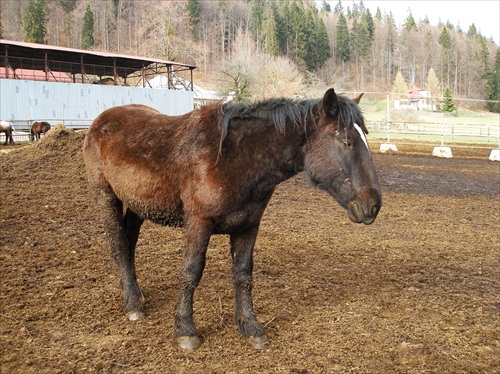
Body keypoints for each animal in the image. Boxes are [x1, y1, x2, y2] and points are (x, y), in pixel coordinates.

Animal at [83, 87, 382, 350]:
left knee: (129, 243)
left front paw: (250, 327)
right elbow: (191, 272)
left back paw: (133, 292)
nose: (373, 205)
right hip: (106, 196)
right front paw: (185, 330)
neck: (233, 158)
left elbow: (243, 274)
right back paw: (133, 304)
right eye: (346, 141)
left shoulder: (248, 225)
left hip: (138, 205)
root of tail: (101, 120)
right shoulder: (198, 222)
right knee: (119, 246)